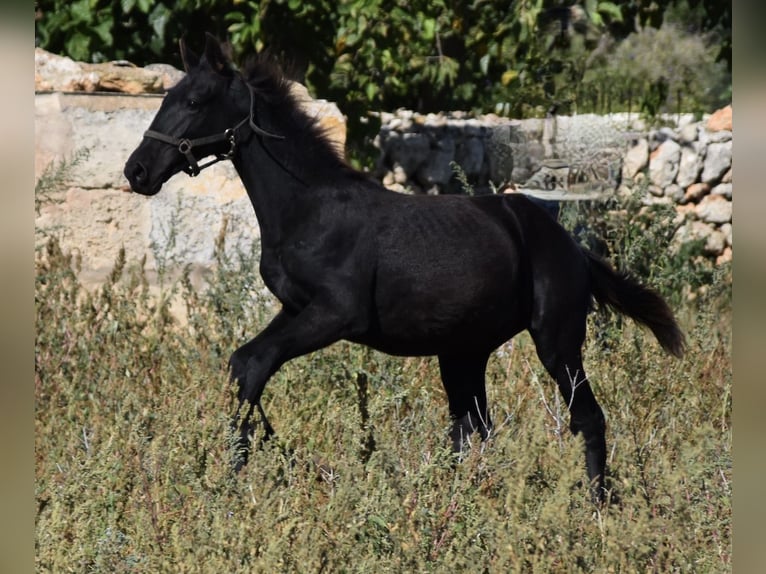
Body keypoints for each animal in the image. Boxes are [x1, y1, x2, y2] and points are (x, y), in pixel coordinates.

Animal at [123, 35, 688, 504]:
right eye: (166, 98)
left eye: (194, 102)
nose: (137, 171)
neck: (309, 206)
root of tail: (572, 247)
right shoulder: (296, 308)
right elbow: (244, 362)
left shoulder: (336, 314)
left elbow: (257, 363)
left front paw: (235, 480)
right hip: (463, 351)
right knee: (473, 428)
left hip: (557, 339)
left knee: (584, 416)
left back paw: (599, 506)